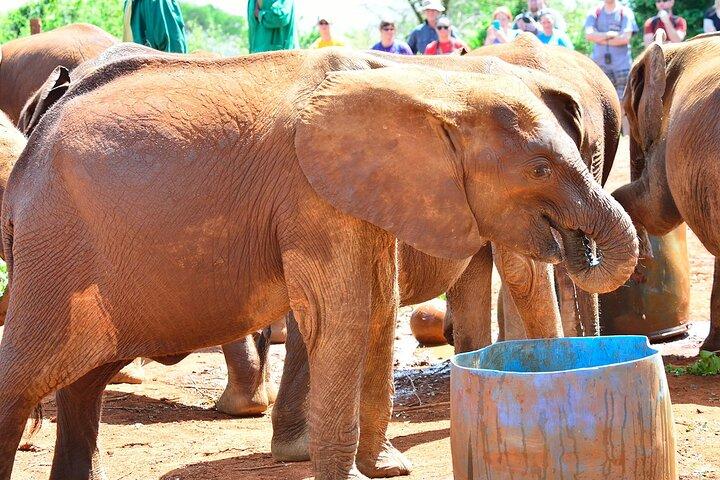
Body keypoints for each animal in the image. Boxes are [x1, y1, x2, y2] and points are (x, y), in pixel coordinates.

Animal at [0, 48, 638, 480]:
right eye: (539, 167)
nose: (579, 244)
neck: (429, 85)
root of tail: (32, 146)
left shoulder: (366, 192)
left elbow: (377, 308)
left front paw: (386, 469)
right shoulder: (312, 195)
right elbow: (345, 315)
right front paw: (351, 474)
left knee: (84, 383)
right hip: (57, 248)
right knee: (26, 376)